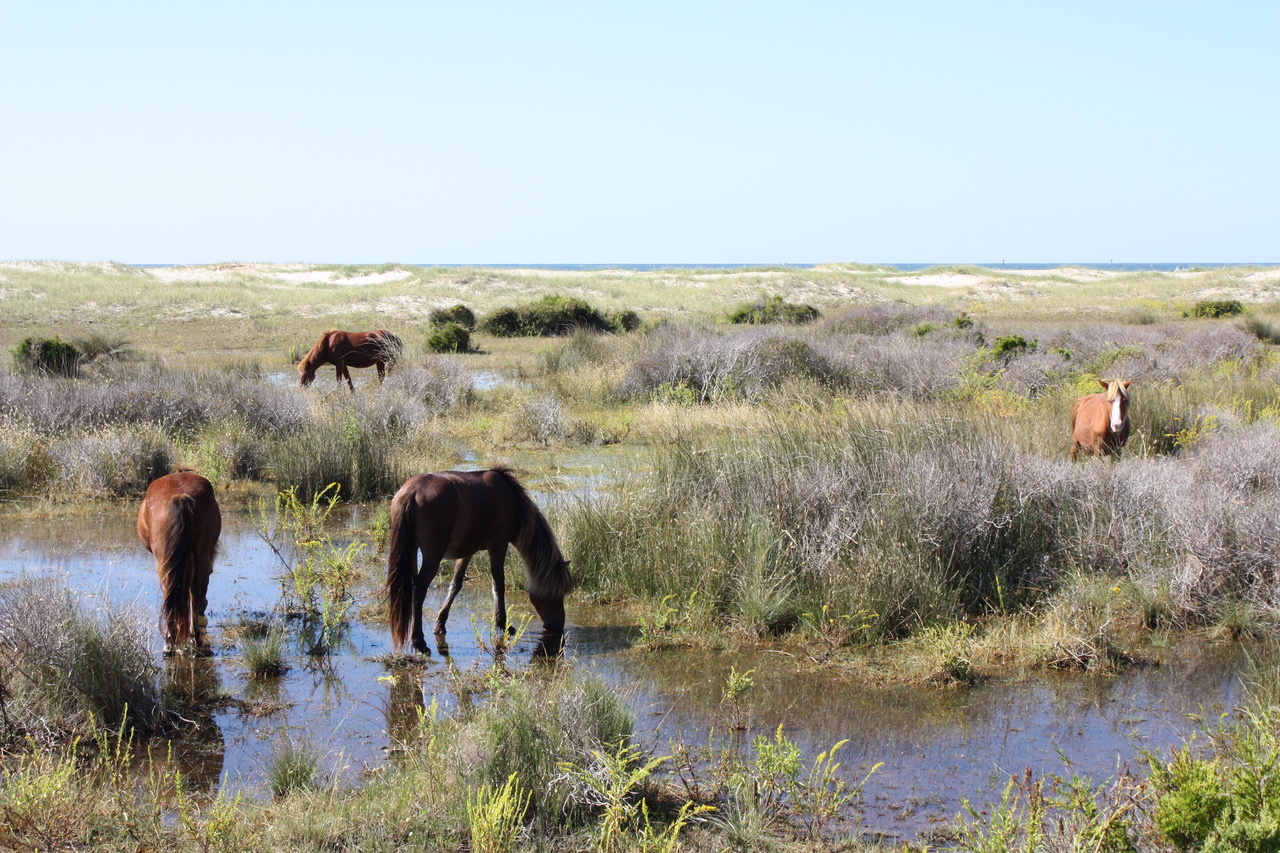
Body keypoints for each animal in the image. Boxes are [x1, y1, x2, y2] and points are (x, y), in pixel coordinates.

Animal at [137, 470, 221, 654]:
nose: (204, 607)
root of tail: (181, 497)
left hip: (166, 560)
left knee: (176, 593)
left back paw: (174, 641)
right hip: (196, 555)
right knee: (189, 592)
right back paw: (191, 639)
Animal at [386, 467, 573, 653]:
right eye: (557, 593)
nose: (557, 625)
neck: (514, 502)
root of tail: (412, 492)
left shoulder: (467, 551)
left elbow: (456, 585)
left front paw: (440, 623)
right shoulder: (498, 545)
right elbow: (498, 584)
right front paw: (503, 624)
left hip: (412, 549)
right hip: (433, 556)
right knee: (419, 589)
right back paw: (418, 641)